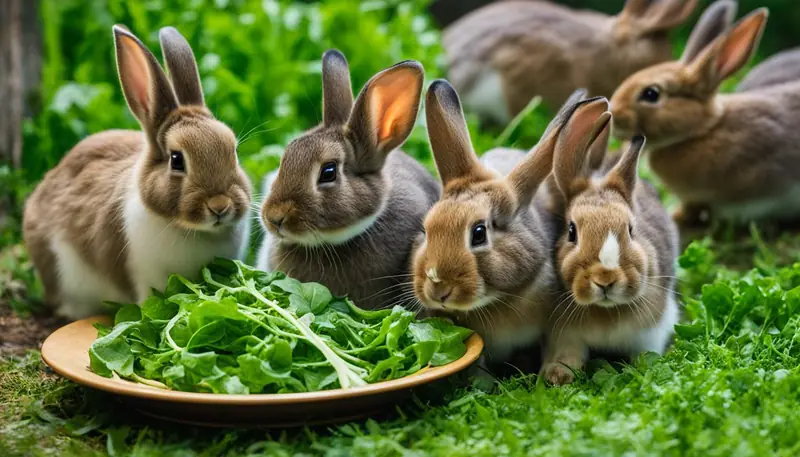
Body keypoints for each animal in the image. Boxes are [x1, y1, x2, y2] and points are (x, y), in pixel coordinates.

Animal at [543, 101, 680, 385]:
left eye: (631, 229)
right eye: (571, 231)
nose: (605, 279)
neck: (605, 310)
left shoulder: (652, 329)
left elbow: (645, 354)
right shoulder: (565, 335)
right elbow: (568, 355)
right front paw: (558, 376)